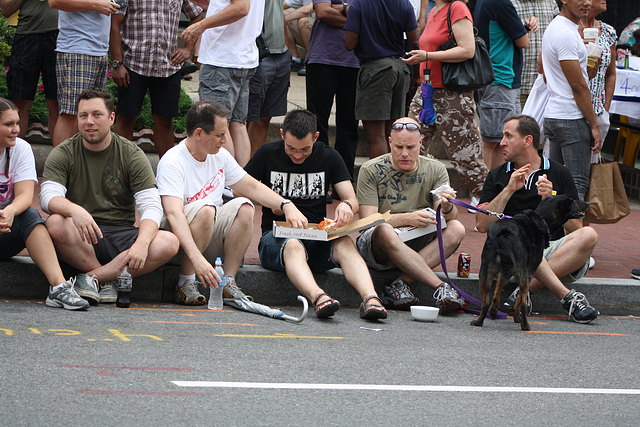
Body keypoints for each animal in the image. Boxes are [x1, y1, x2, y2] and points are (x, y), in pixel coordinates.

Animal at [468, 196, 588, 332]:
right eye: (573, 201)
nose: (587, 203)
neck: (543, 218)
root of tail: (505, 233)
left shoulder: (505, 270)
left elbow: (497, 291)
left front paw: (494, 312)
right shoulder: (530, 272)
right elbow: (520, 299)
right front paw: (517, 318)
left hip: (485, 271)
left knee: (485, 302)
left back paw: (479, 321)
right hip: (522, 272)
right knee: (524, 304)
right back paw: (525, 326)